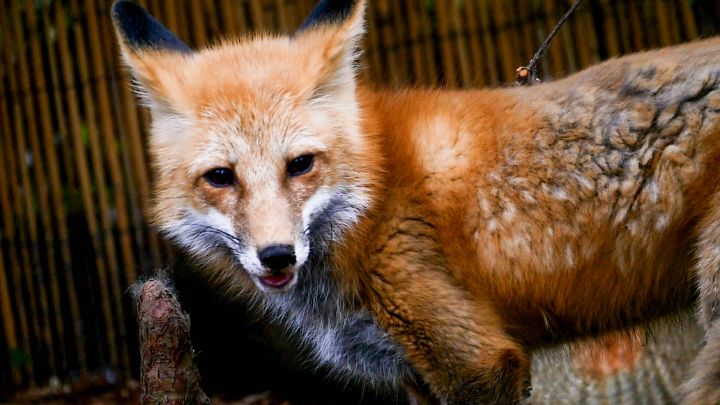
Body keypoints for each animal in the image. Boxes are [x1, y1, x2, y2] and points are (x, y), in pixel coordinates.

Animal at [111, 0, 720, 403]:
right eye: (221, 177)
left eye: (300, 165)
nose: (277, 255)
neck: (370, 202)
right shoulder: (414, 372)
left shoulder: (477, 361)